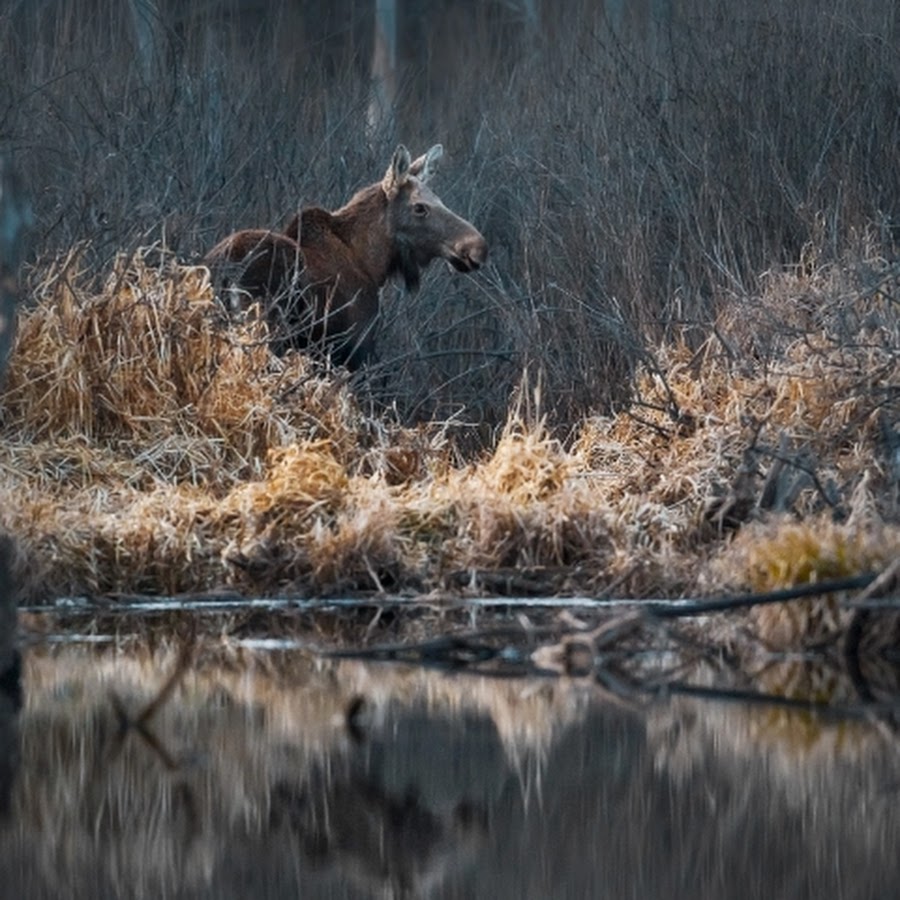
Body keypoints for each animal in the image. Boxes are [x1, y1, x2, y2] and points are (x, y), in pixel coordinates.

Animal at [203, 146, 488, 370]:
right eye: (420, 208)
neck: (373, 266)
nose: (478, 246)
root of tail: (226, 271)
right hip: (264, 334)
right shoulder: (353, 349)